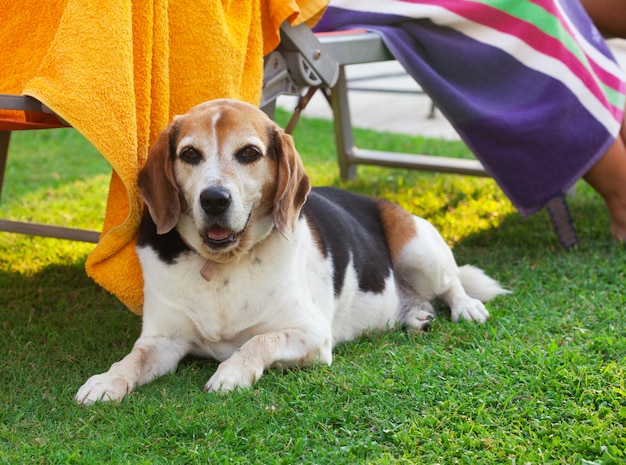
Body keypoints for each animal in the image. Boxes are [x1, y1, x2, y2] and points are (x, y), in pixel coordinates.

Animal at [74, 99, 508, 404]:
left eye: (249, 153)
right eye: (189, 154)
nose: (214, 199)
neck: (222, 266)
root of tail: (379, 201)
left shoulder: (311, 334)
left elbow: (258, 341)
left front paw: (231, 372)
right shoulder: (164, 339)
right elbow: (134, 358)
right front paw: (107, 380)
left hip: (418, 248)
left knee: (452, 283)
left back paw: (466, 307)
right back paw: (417, 314)